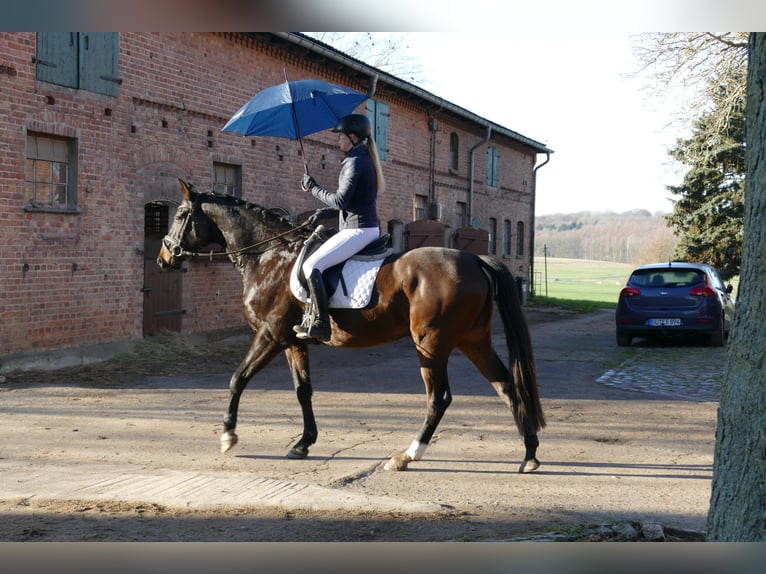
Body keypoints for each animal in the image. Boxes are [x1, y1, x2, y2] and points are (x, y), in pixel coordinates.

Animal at [157, 180, 545, 473]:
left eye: (181, 215)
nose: (164, 257)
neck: (270, 257)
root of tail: (474, 260)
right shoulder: (294, 342)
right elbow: (303, 390)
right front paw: (303, 443)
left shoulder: (269, 335)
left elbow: (238, 378)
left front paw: (228, 435)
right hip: (472, 340)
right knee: (507, 385)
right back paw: (529, 455)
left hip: (431, 343)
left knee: (440, 398)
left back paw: (407, 455)